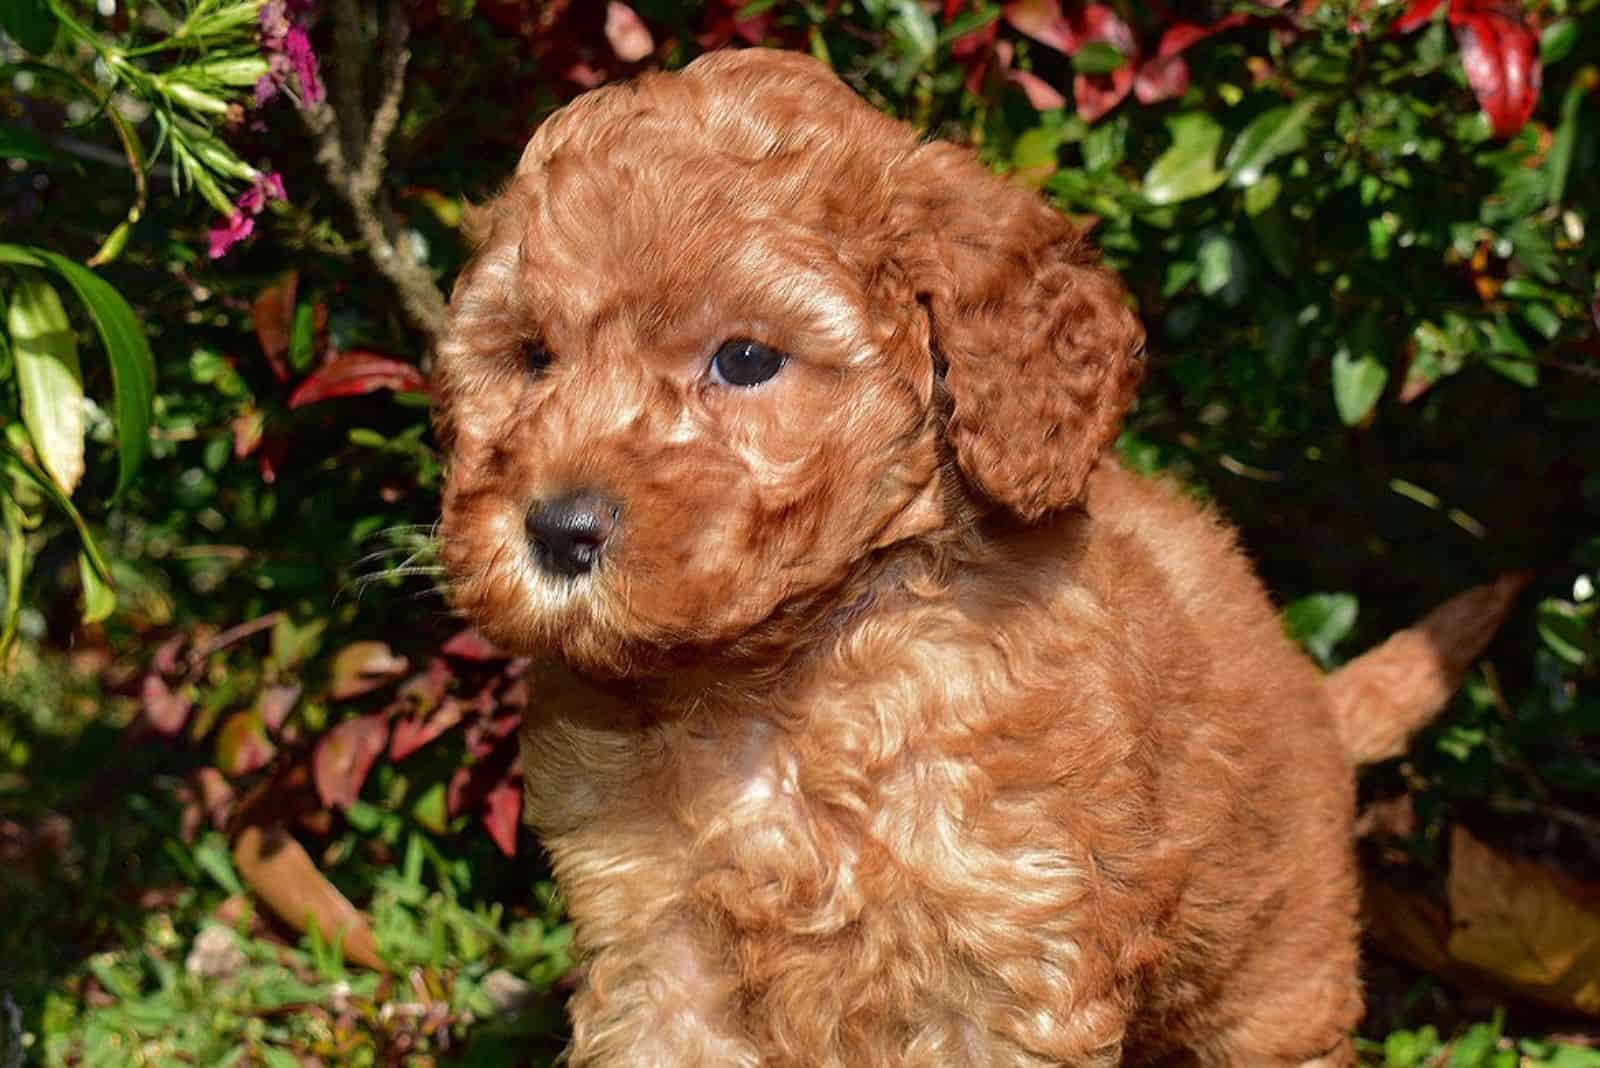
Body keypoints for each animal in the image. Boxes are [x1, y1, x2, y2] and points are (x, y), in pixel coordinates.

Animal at [432, 45, 1516, 1061]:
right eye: (533, 357)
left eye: (744, 360)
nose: (556, 530)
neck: (778, 681)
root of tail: (1316, 700)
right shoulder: (658, 956)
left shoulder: (1007, 949)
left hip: (1276, 957)